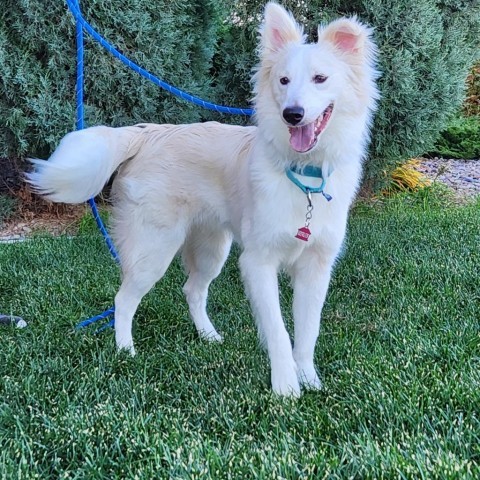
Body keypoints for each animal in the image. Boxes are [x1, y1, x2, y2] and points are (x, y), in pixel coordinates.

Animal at [28, 1, 378, 396]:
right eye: (284, 81)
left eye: (320, 79)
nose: (292, 115)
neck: (304, 173)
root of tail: (148, 134)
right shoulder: (258, 263)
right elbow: (278, 331)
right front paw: (286, 387)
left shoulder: (316, 267)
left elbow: (307, 331)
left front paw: (309, 379)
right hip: (154, 250)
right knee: (123, 299)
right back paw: (125, 351)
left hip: (212, 249)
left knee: (192, 290)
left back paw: (208, 336)